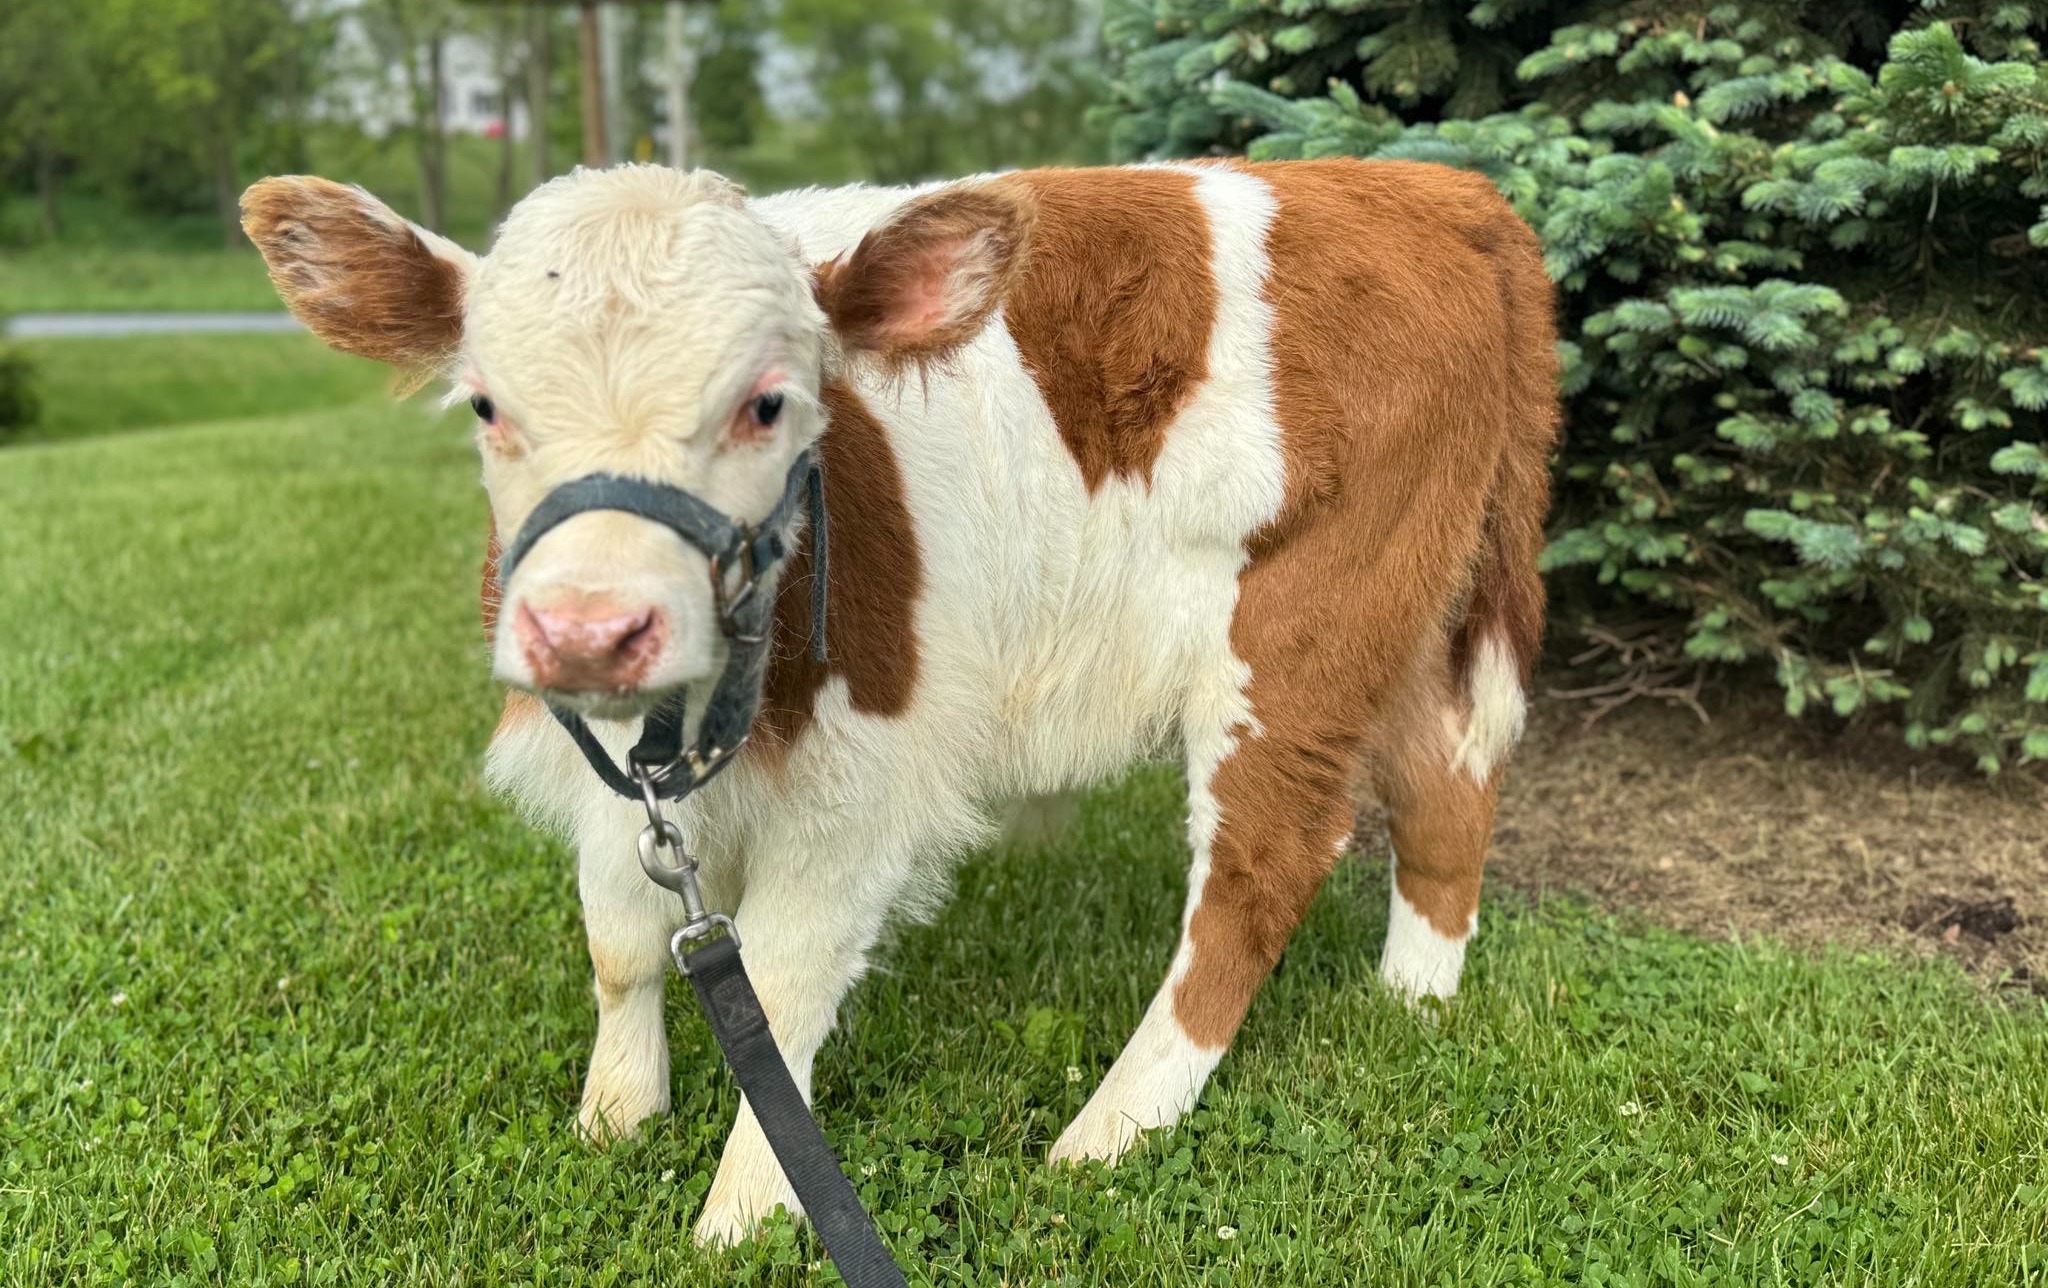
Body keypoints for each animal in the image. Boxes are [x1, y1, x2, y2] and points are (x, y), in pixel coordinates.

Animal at [241, 158, 1558, 1245]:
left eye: (767, 401)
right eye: (484, 403)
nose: (589, 632)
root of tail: (1428, 186)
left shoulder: (859, 787)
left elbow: (779, 990)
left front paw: (745, 1212)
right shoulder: (608, 768)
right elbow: (617, 940)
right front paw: (616, 1114)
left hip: (1301, 631)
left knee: (1262, 863)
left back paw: (1111, 1127)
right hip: (1412, 611)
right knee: (1444, 782)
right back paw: (1410, 1000)